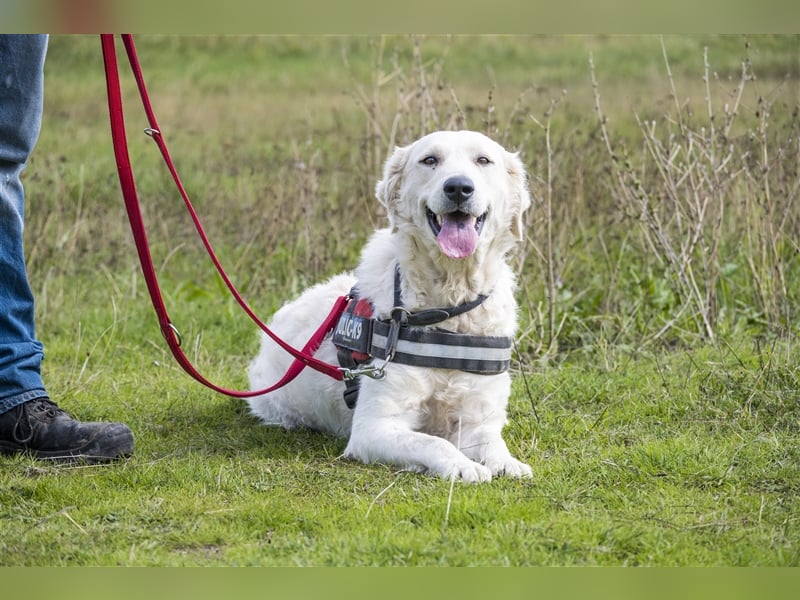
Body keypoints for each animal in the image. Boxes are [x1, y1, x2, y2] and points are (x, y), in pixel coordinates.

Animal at [247, 130, 536, 482]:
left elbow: (492, 442)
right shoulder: (374, 427)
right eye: (430, 160)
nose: (458, 187)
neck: (448, 307)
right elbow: (433, 442)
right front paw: (462, 466)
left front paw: (507, 463)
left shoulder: (477, 417)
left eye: (483, 160)